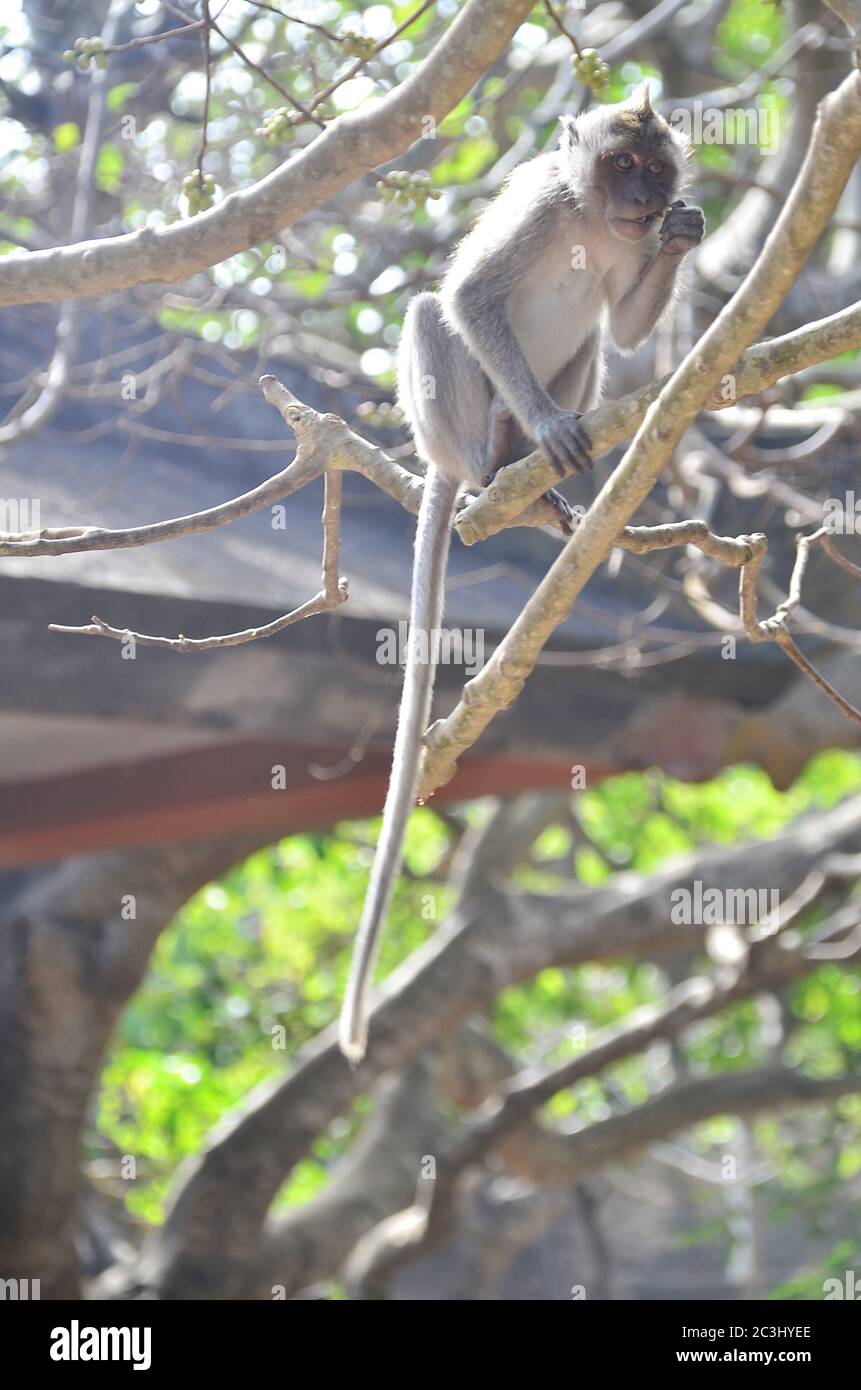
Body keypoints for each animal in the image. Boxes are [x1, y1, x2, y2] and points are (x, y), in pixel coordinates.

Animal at [339, 87, 705, 1063]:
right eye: (620, 165)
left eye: (655, 170)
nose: (646, 199)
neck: (589, 218)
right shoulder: (543, 207)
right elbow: (470, 298)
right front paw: (545, 422)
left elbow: (623, 327)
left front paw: (683, 233)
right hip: (447, 419)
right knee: (433, 313)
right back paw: (494, 461)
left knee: (593, 345)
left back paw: (536, 489)